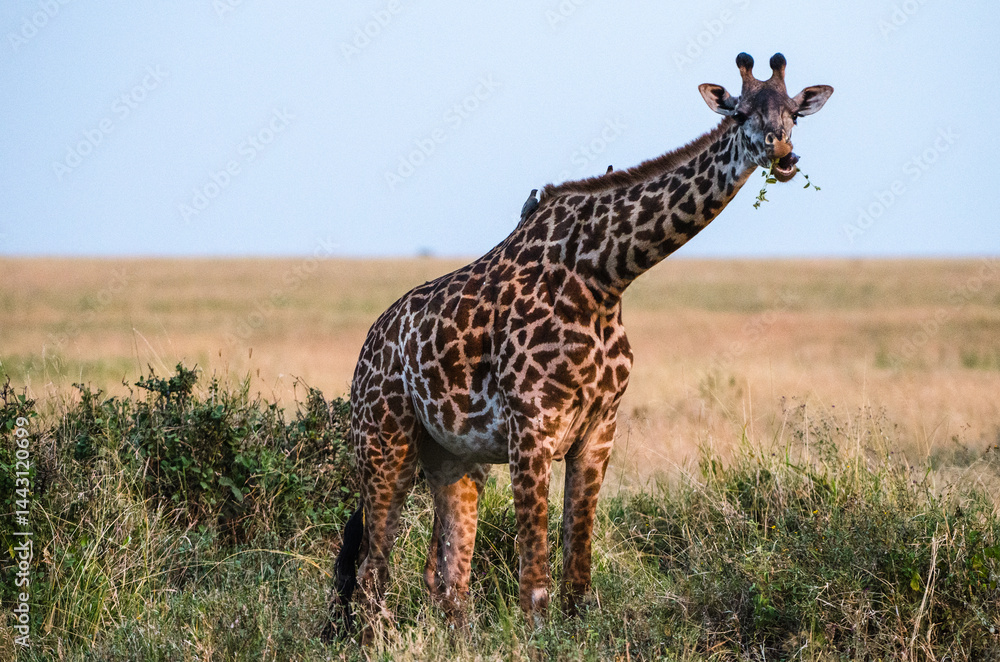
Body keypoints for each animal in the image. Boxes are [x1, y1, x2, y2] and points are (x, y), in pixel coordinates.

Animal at [327, 52, 833, 637]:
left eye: (795, 113)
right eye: (741, 112)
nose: (783, 155)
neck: (603, 279)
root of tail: (367, 347)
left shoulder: (599, 429)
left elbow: (577, 574)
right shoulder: (531, 429)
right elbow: (535, 582)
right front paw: (535, 637)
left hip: (453, 457)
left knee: (446, 577)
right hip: (384, 443)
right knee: (372, 570)